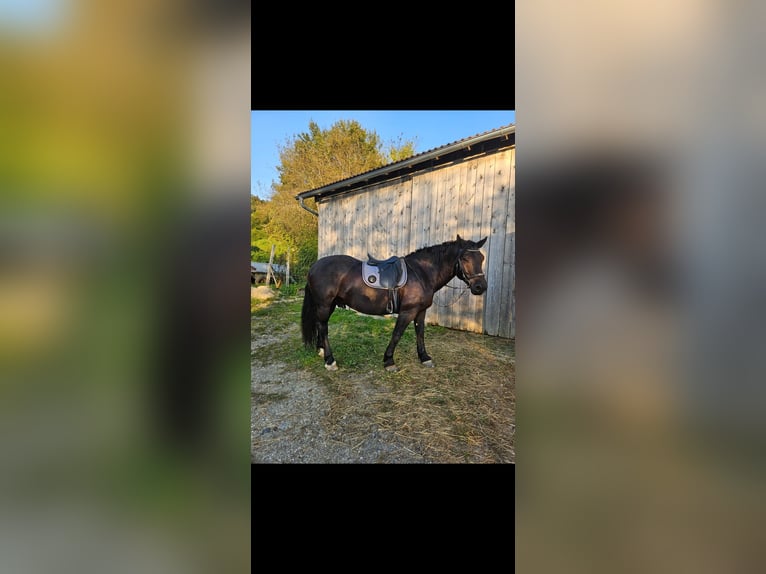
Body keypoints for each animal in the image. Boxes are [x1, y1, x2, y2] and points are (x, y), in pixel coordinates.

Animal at [302, 235, 488, 374]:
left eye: (481, 258)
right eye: (464, 258)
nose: (480, 287)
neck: (422, 273)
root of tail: (314, 266)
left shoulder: (421, 311)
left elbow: (420, 333)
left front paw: (424, 357)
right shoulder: (407, 312)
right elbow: (397, 334)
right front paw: (389, 361)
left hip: (329, 305)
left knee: (320, 325)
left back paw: (321, 351)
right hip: (324, 305)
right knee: (323, 327)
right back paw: (330, 361)